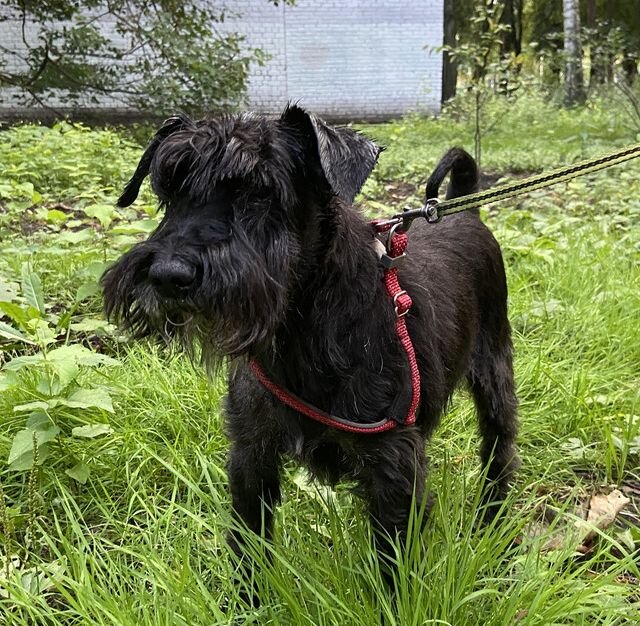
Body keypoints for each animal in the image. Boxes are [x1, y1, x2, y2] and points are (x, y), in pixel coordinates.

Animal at [101, 107, 520, 588]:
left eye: (261, 191)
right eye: (170, 190)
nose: (169, 274)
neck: (302, 328)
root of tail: (464, 211)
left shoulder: (393, 468)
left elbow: (393, 570)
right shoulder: (251, 456)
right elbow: (247, 546)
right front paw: (244, 601)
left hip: (494, 374)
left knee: (499, 450)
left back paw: (493, 525)